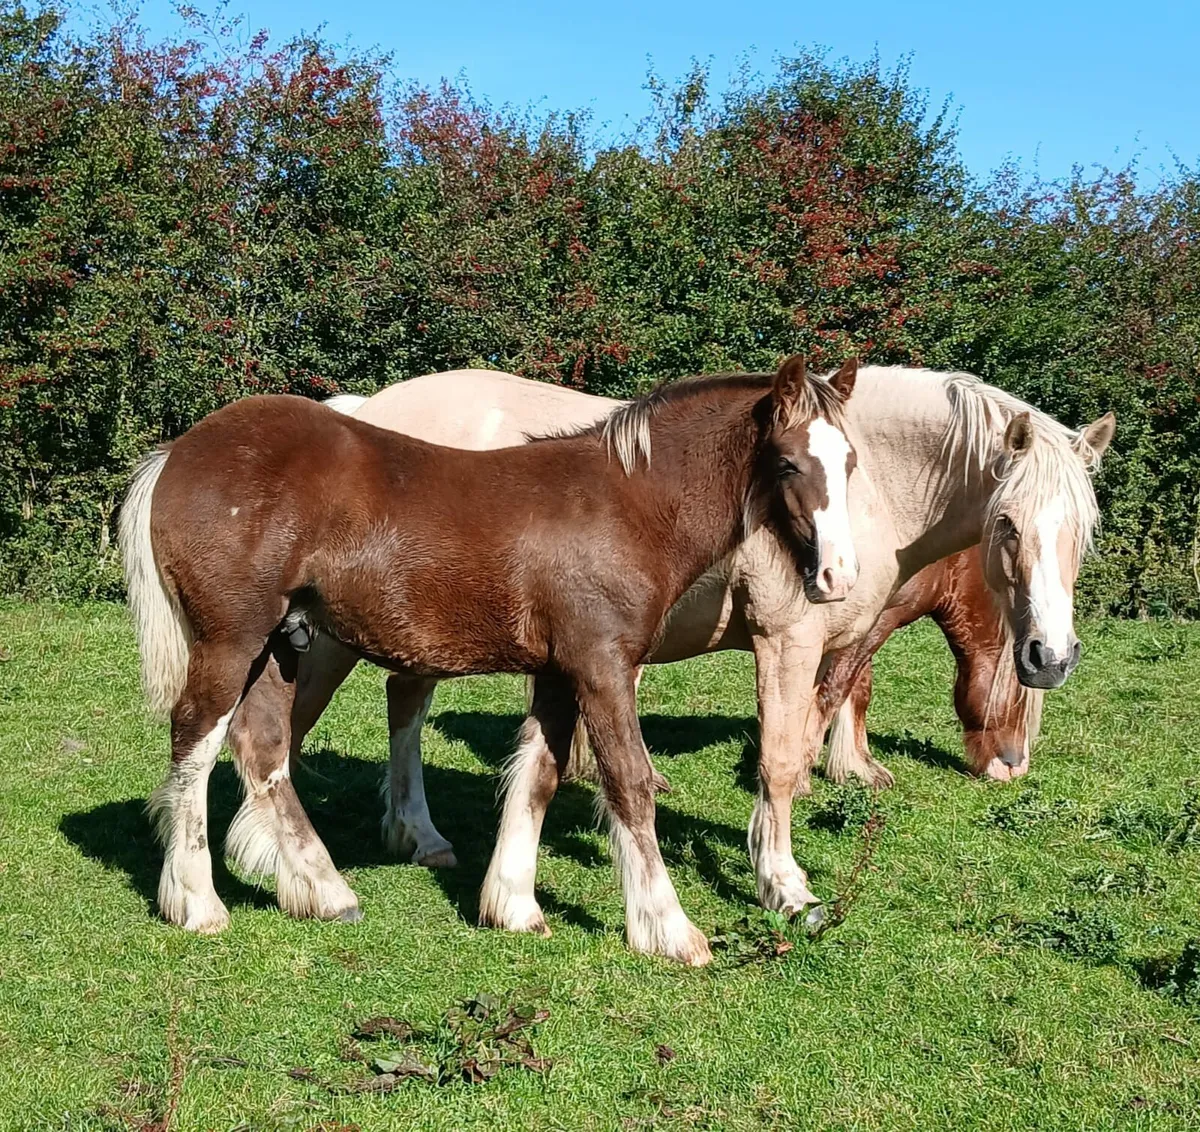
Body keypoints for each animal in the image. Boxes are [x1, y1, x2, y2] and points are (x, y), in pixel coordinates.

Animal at [118, 357, 859, 964]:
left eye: (850, 462)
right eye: (789, 463)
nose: (837, 577)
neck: (628, 504)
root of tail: (178, 452)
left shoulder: (561, 671)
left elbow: (539, 777)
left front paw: (513, 905)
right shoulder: (603, 667)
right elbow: (629, 783)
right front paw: (669, 930)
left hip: (282, 643)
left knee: (263, 742)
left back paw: (323, 889)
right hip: (232, 640)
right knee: (195, 740)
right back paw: (197, 902)